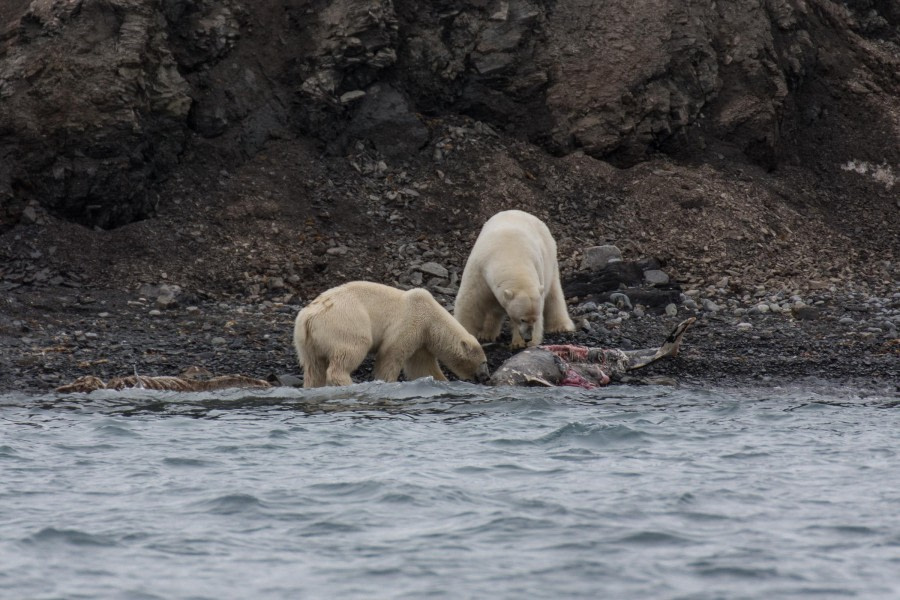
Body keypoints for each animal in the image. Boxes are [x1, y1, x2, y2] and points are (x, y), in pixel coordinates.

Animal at [294, 282, 492, 390]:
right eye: (484, 362)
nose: (486, 377)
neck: (432, 317)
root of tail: (308, 316)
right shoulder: (411, 321)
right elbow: (391, 354)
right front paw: (387, 381)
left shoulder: (422, 339)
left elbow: (421, 366)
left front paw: (442, 381)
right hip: (345, 323)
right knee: (349, 352)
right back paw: (347, 382)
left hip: (305, 341)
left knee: (313, 367)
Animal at [454, 211, 572, 352]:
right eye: (522, 319)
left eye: (535, 319)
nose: (528, 338)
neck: (510, 254)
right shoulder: (479, 270)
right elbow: (470, 303)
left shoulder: (537, 269)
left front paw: (519, 343)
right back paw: (486, 334)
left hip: (550, 261)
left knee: (553, 294)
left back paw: (561, 326)